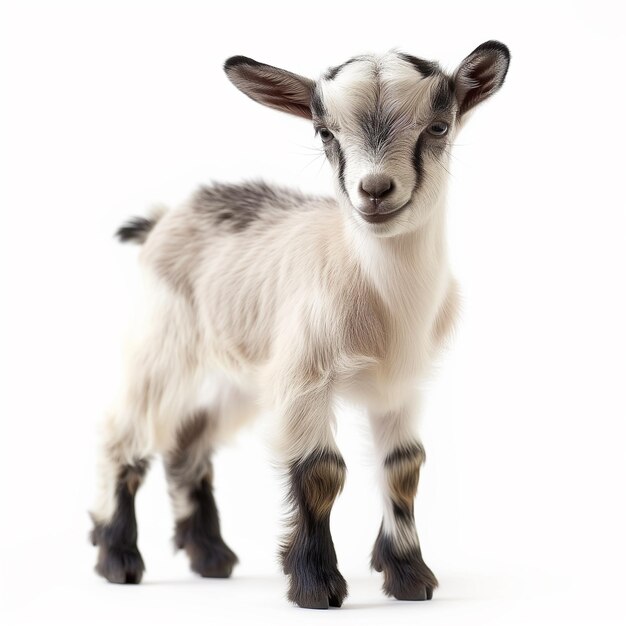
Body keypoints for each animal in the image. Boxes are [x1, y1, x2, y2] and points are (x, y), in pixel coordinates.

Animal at [88, 41, 508, 608]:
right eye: (324, 132)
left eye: (439, 126)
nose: (375, 190)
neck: (385, 303)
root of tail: (164, 218)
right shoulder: (305, 376)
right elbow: (320, 470)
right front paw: (316, 585)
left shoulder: (401, 384)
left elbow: (404, 466)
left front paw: (410, 577)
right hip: (162, 342)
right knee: (125, 432)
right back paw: (118, 557)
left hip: (244, 372)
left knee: (189, 440)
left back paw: (210, 555)